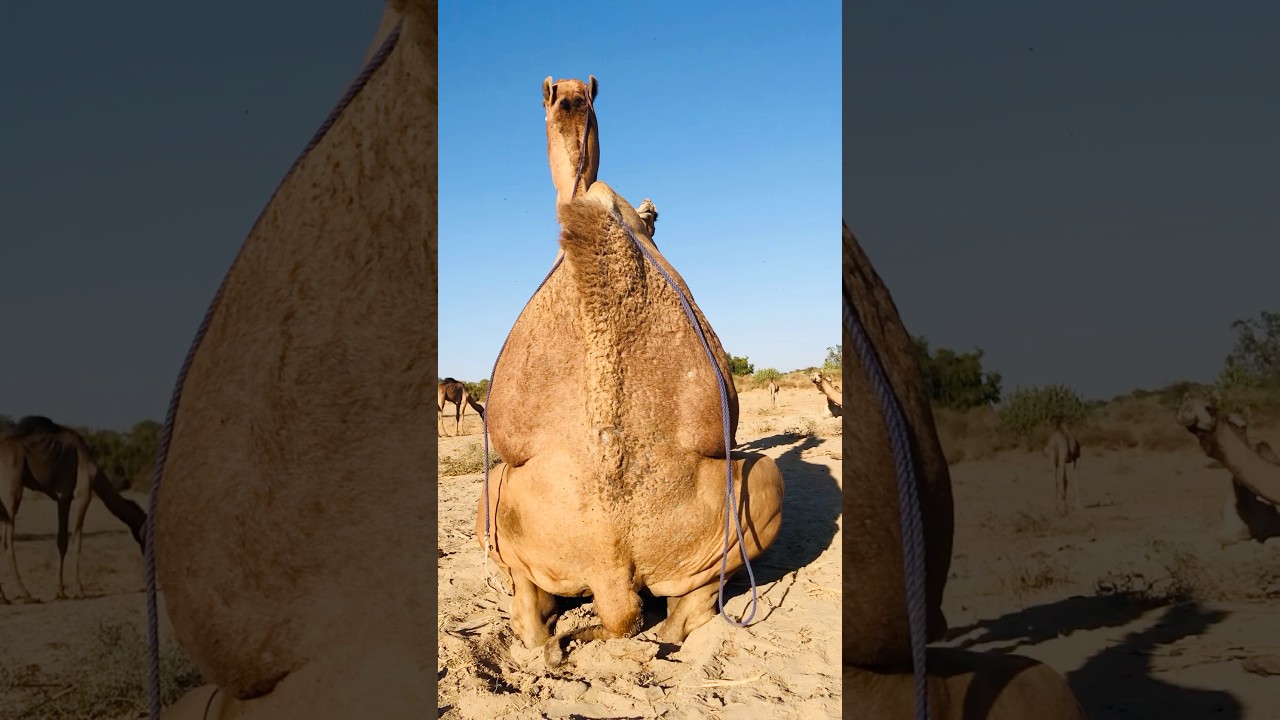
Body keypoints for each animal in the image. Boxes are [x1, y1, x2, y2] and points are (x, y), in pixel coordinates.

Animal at [0, 416, 146, 603]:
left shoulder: (64, 497)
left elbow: (62, 540)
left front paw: (61, 591)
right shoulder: (84, 491)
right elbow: (77, 537)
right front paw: (79, 589)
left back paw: (5, 597)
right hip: (11, 492)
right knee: (7, 541)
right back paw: (26, 594)